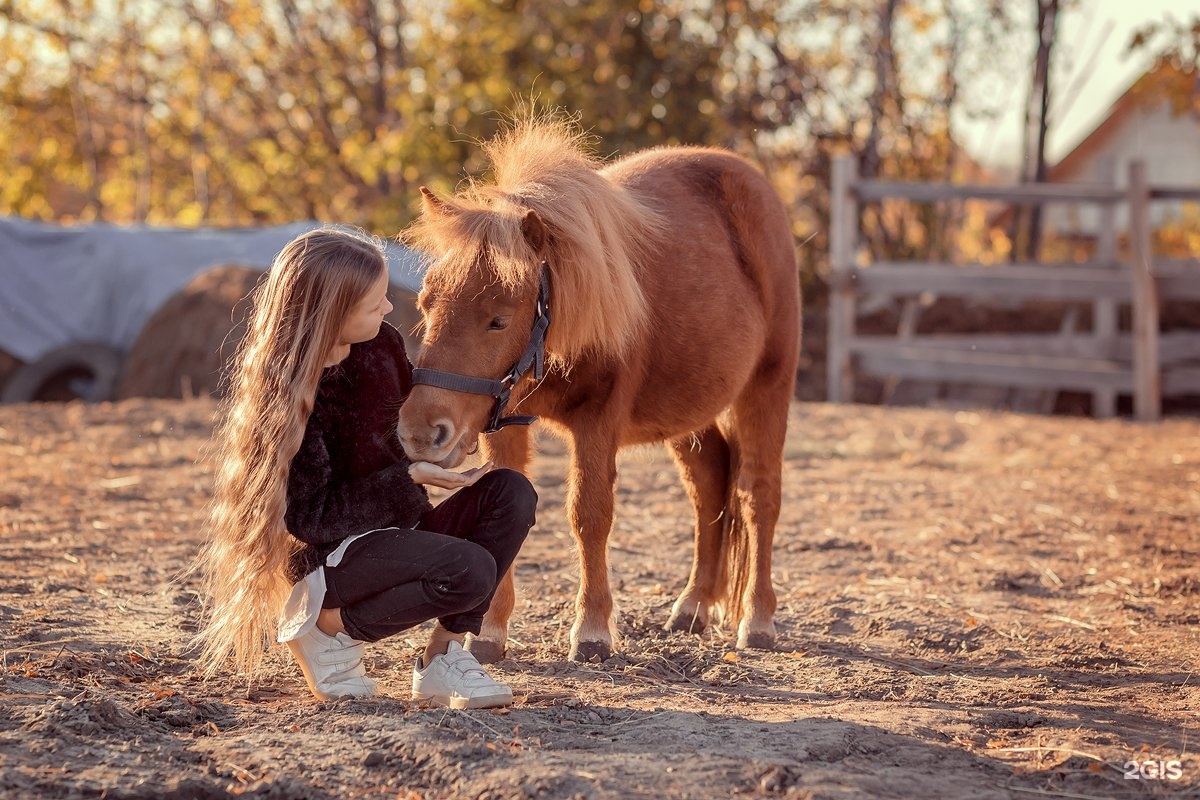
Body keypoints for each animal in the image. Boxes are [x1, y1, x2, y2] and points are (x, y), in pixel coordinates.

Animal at [398, 115, 801, 662]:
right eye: (426, 303)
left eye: (498, 320)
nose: (421, 432)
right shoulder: (503, 424)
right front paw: (490, 632)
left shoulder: (597, 421)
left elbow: (589, 516)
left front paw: (591, 631)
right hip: (688, 416)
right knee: (710, 490)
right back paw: (694, 606)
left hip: (766, 388)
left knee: (758, 494)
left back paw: (757, 620)